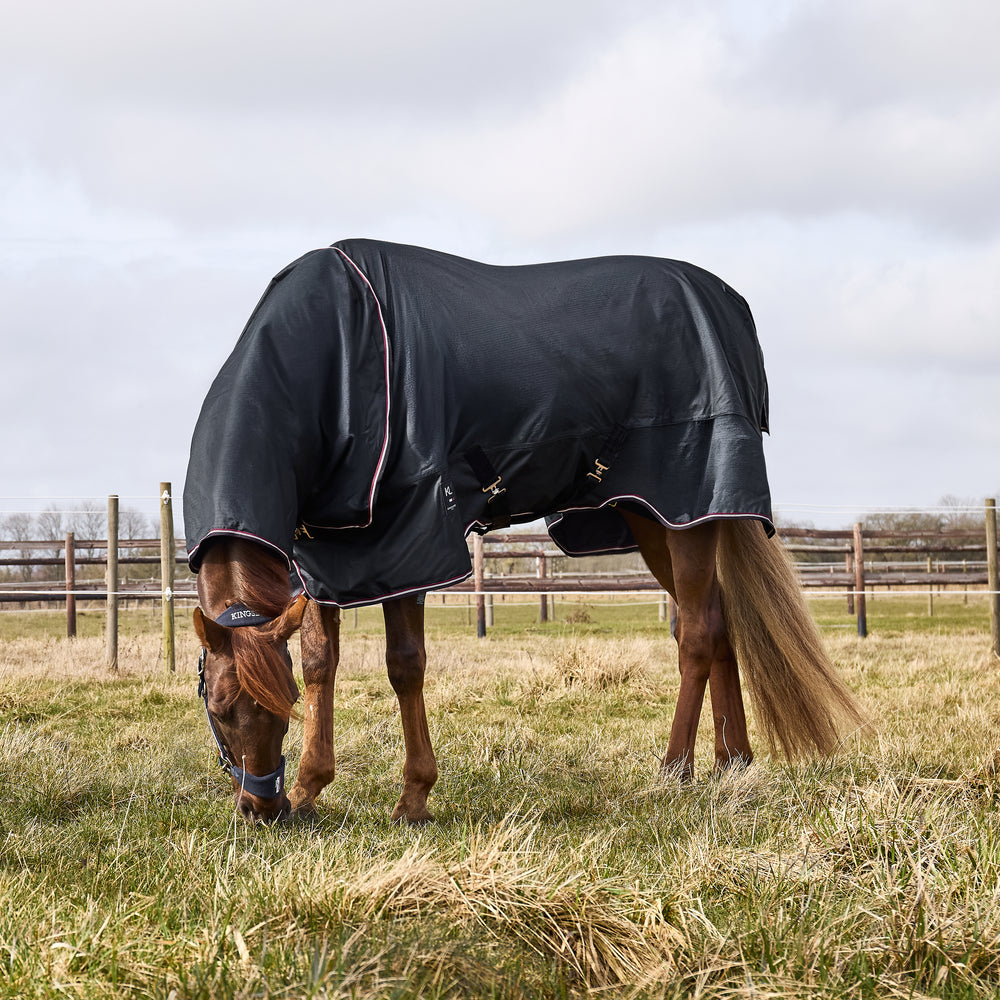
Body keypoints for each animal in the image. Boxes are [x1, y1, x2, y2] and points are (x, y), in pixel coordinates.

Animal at [185, 240, 864, 823]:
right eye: (217, 706)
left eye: (272, 709)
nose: (262, 808)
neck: (339, 351)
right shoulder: (329, 551)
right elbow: (322, 662)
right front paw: (311, 788)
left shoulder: (407, 541)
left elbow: (404, 665)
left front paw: (413, 798)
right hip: (658, 520)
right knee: (719, 626)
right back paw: (732, 764)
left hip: (688, 510)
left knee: (697, 634)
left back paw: (675, 769)